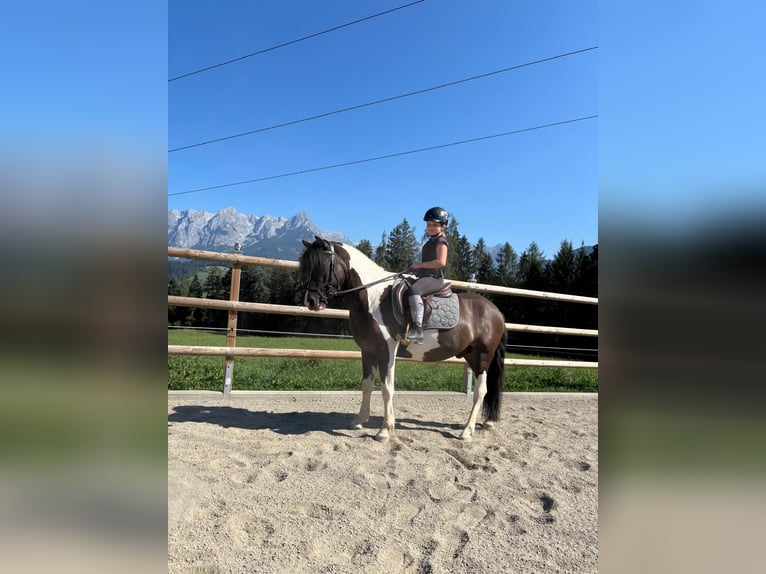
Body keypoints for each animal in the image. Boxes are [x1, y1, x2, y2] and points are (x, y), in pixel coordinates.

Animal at [298, 236, 507, 442]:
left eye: (321, 265)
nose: (310, 301)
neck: (372, 298)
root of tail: (495, 311)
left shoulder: (386, 350)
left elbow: (387, 388)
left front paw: (384, 430)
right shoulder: (367, 350)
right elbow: (366, 385)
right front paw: (359, 421)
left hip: (482, 356)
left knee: (481, 391)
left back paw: (467, 431)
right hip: (470, 355)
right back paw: (487, 423)